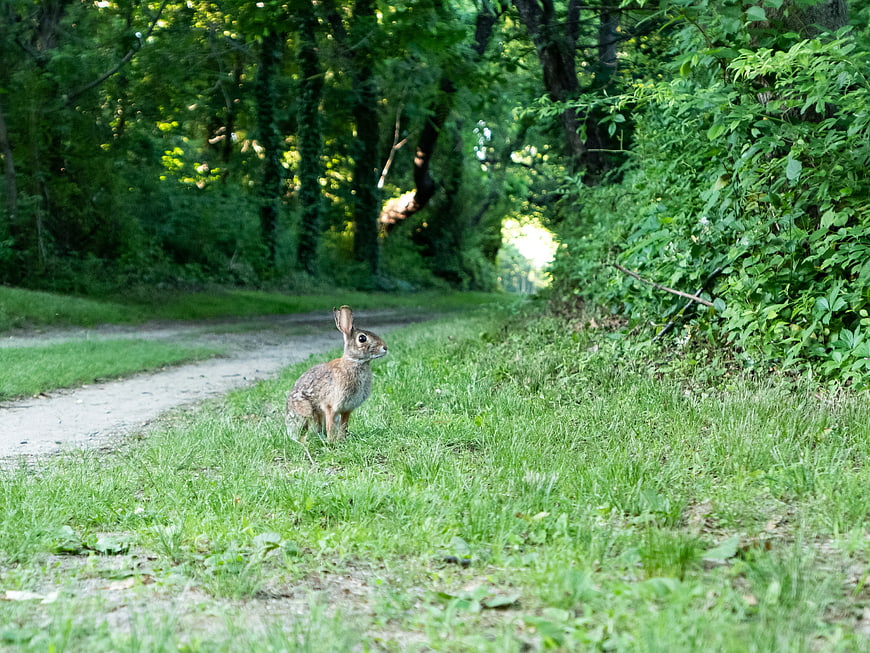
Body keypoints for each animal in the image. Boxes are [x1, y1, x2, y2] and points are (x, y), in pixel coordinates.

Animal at [285, 305, 388, 443]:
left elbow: (344, 426)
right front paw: (332, 442)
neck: (355, 362)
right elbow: (330, 426)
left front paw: (342, 440)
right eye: (362, 338)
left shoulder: (347, 409)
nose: (385, 348)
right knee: (305, 431)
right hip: (307, 412)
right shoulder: (330, 406)